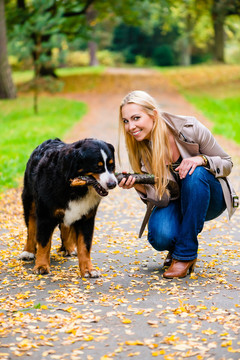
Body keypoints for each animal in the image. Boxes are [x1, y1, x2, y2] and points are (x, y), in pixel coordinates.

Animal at [19, 138, 117, 278]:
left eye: (111, 165)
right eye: (97, 167)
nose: (113, 184)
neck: (76, 188)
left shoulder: (86, 218)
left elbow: (85, 246)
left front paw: (88, 269)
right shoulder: (45, 215)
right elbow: (44, 243)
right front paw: (41, 266)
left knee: (65, 226)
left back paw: (69, 248)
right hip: (29, 202)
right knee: (31, 228)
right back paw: (28, 251)